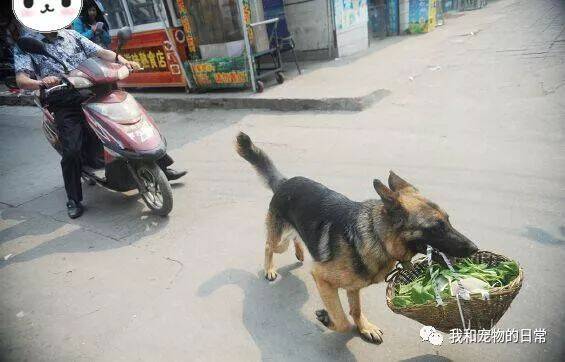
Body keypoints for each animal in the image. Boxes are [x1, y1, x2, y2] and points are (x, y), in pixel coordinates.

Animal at [234, 132, 476, 342]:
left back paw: (301, 252)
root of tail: (284, 181)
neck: (377, 236)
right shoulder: (322, 278)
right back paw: (269, 268)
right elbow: (342, 321)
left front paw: (364, 327)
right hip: (279, 241)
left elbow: (356, 310)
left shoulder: (353, 286)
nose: (474, 248)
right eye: (436, 228)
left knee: (297, 237)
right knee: (269, 246)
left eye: (448, 220)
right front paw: (329, 320)